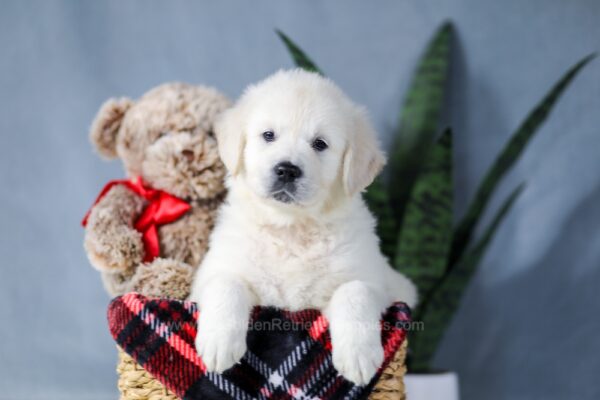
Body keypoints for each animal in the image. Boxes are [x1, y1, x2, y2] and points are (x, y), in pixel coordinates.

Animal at [190, 69, 414, 384]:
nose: (287, 170)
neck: (291, 228)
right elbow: (226, 284)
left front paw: (357, 356)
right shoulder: (212, 272)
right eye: (268, 135)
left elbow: (355, 291)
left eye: (319, 144)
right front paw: (218, 344)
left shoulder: (376, 282)